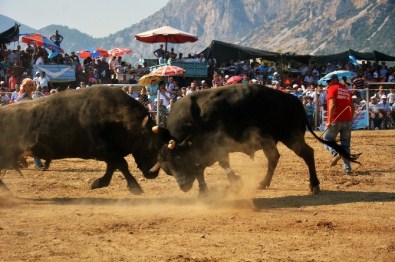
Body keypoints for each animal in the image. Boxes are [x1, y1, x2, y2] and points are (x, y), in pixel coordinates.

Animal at [0, 87, 162, 193]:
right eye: (152, 146)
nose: (153, 174)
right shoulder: (103, 150)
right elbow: (122, 164)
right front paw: (135, 187)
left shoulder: (110, 152)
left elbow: (113, 167)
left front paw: (98, 183)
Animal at [150, 84, 360, 194]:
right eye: (168, 170)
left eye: (178, 159)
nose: (184, 187)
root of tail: (294, 100)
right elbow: (201, 169)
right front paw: (203, 190)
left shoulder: (216, 146)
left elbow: (220, 164)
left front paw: (235, 180)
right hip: (271, 140)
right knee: (274, 157)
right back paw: (264, 182)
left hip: (290, 136)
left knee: (307, 154)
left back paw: (314, 185)